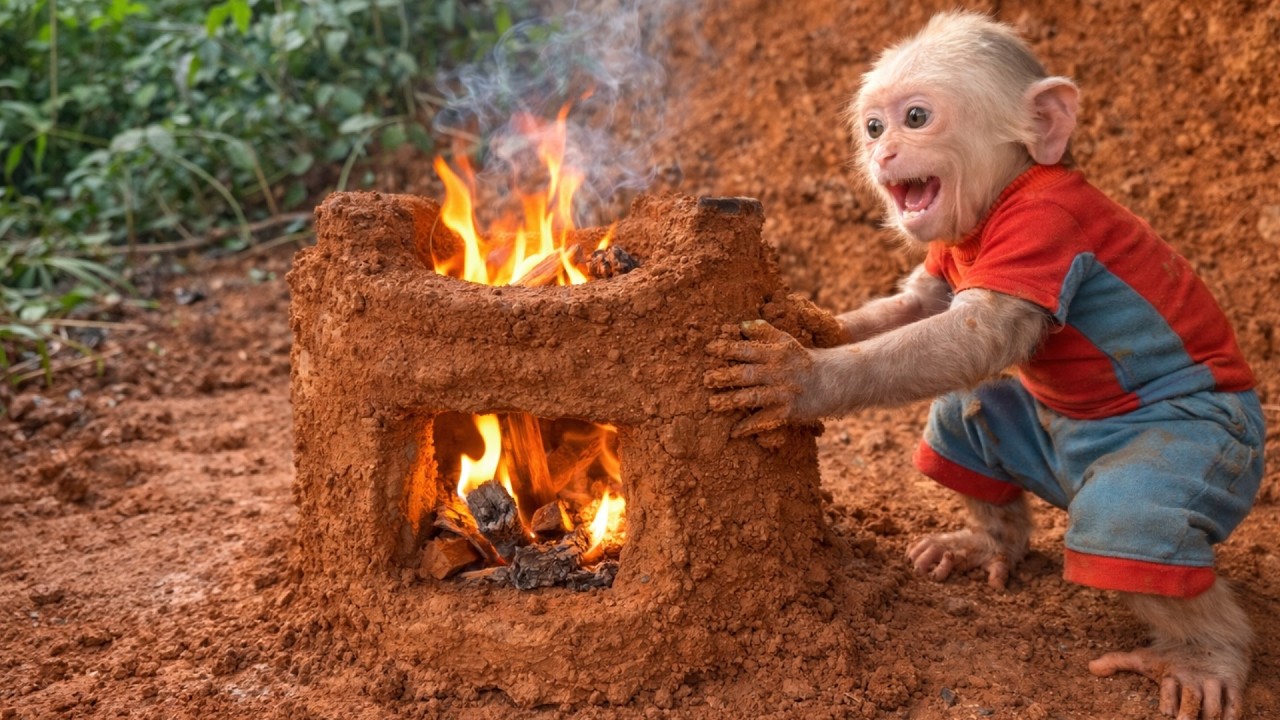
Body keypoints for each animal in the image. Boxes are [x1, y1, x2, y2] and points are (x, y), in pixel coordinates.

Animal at [704, 11, 1265, 720]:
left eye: (916, 117)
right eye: (873, 126)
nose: (883, 154)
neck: (1004, 193)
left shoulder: (1042, 230)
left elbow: (978, 333)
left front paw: (799, 376)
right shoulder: (946, 252)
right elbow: (922, 303)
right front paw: (811, 322)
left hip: (1207, 452)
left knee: (1134, 523)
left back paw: (1204, 659)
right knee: (962, 422)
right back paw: (987, 545)